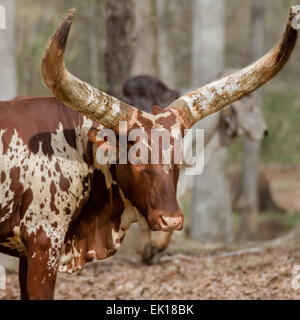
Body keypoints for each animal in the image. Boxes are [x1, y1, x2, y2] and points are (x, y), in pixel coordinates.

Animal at [0, 8, 296, 298]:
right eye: (137, 159)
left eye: (177, 160)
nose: (171, 219)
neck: (77, 146)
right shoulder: (43, 241)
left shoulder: (29, 252)